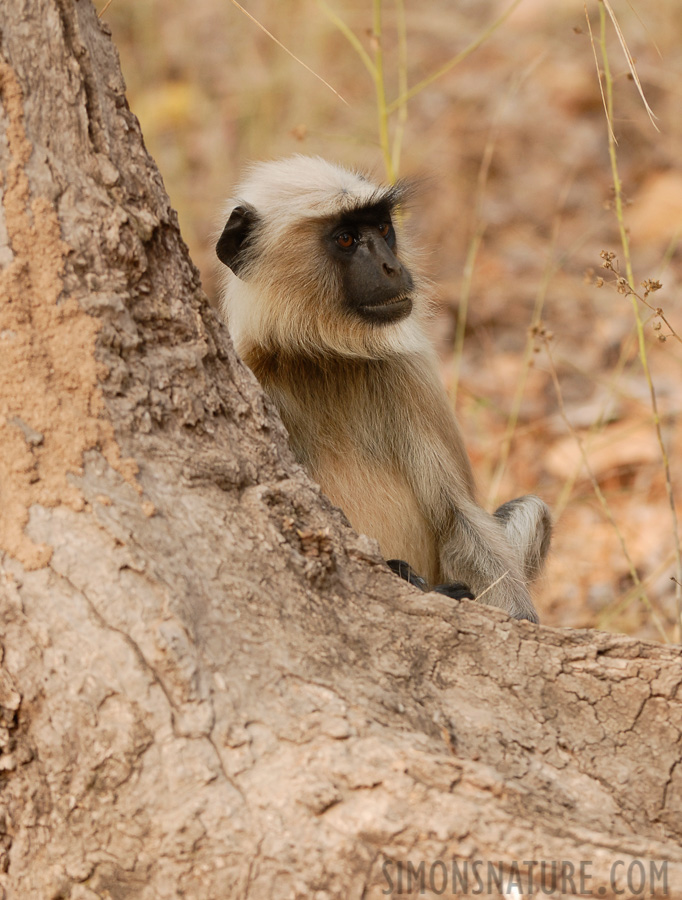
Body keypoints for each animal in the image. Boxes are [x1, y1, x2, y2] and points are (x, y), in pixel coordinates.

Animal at [215, 156, 548, 620]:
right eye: (347, 238)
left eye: (383, 228)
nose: (392, 267)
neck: (316, 357)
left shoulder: (406, 372)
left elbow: (457, 516)